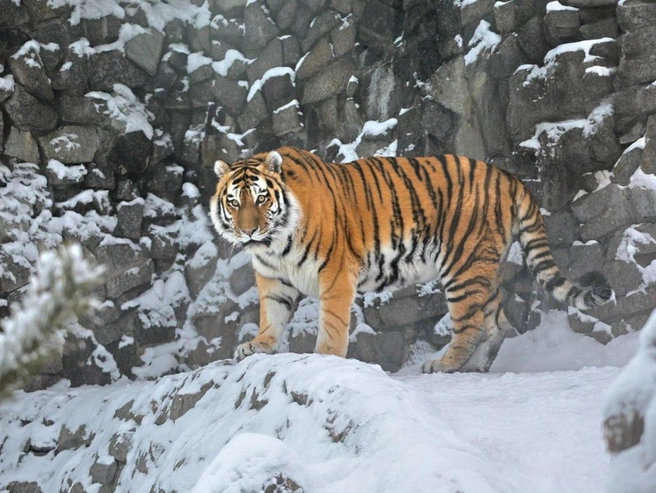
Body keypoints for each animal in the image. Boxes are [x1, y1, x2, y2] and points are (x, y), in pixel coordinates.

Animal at [209, 146, 613, 373]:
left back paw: (443, 365)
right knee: (498, 324)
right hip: (485, 267)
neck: (275, 244)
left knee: (473, 325)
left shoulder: (335, 272)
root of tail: (507, 175)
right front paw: (259, 345)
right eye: (235, 201)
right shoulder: (273, 278)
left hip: (462, 264)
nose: (248, 232)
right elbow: (271, 315)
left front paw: (325, 356)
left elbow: (333, 324)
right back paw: (474, 367)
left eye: (262, 198)